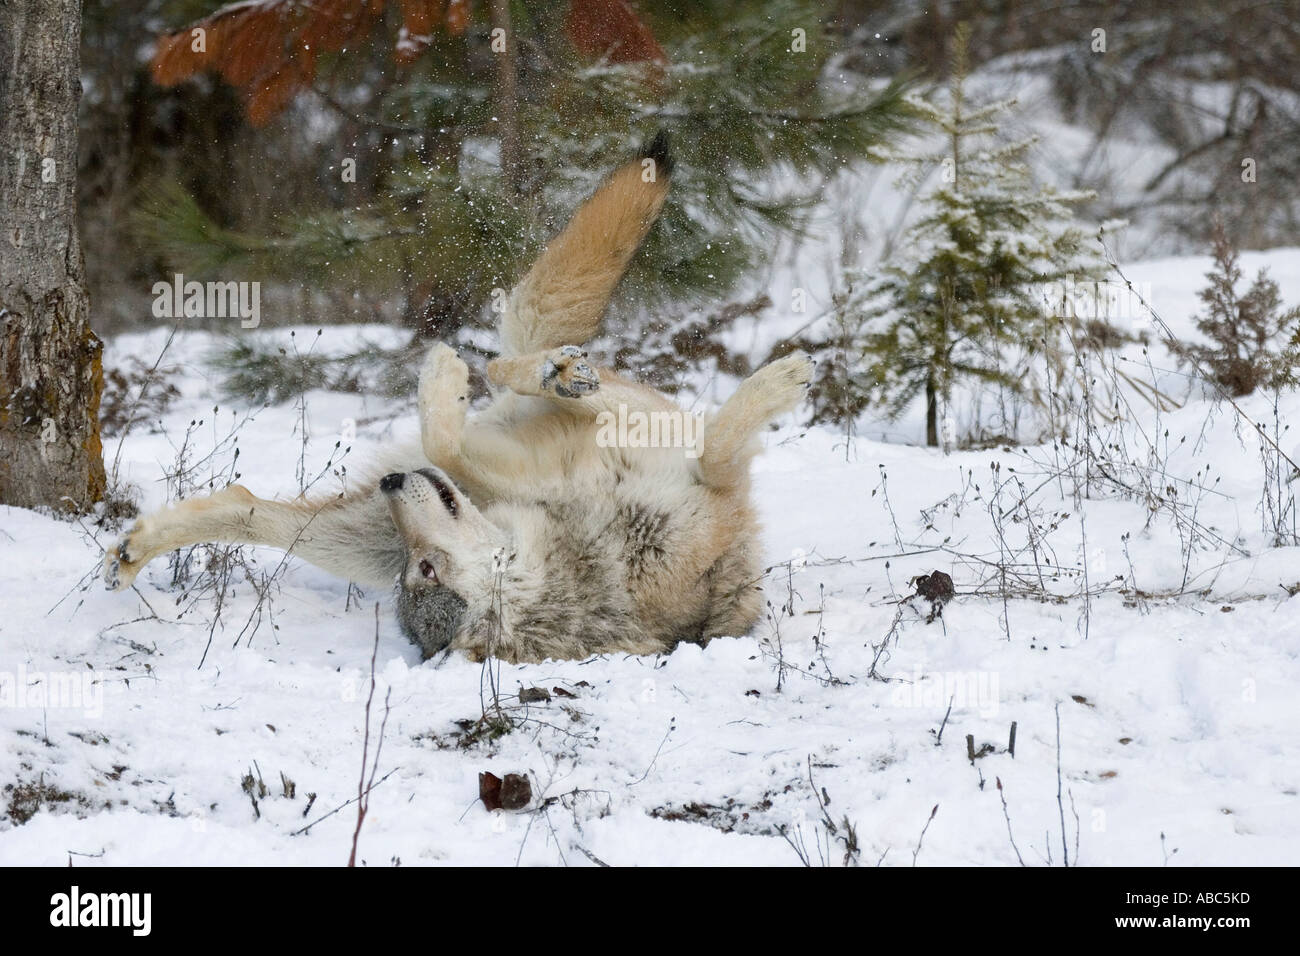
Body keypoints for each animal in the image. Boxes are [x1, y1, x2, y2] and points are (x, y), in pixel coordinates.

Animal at [104, 134, 811, 660]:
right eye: (418, 570)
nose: (393, 484)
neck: (596, 557)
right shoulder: (702, 485)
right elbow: (720, 444)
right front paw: (784, 379)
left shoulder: (686, 477)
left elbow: (717, 443)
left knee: (510, 366)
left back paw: (542, 369)